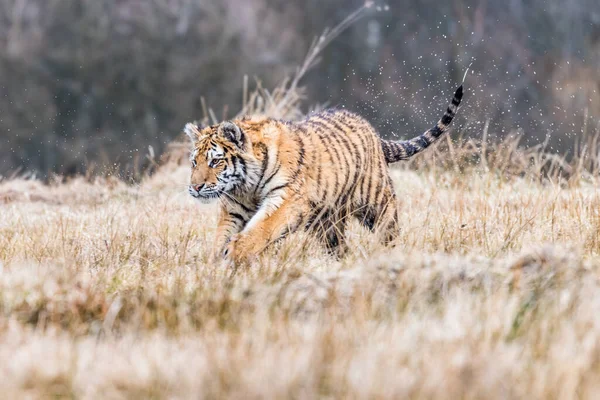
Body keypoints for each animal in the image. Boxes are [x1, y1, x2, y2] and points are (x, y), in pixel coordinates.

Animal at [188, 84, 464, 264]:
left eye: (215, 161)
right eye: (194, 162)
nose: (195, 188)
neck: (246, 186)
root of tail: (373, 132)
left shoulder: (287, 199)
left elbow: (264, 226)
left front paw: (236, 251)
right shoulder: (234, 209)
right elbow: (223, 233)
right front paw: (216, 259)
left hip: (378, 205)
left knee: (389, 233)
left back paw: (392, 256)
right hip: (328, 223)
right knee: (340, 247)